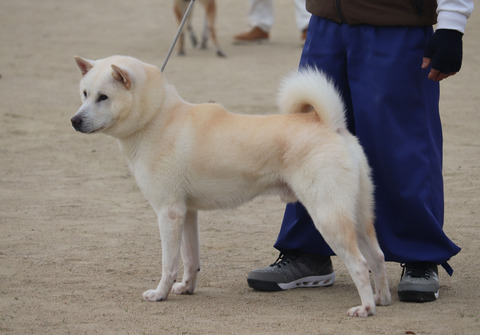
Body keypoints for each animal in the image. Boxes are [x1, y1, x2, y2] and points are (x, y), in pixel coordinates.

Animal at [72, 55, 394, 318]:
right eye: (85, 94)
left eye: (103, 97)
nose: (74, 120)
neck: (157, 118)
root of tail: (330, 125)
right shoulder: (187, 214)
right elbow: (190, 259)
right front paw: (186, 288)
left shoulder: (168, 213)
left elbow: (168, 263)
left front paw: (160, 294)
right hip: (358, 216)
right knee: (377, 257)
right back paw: (382, 299)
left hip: (328, 217)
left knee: (359, 264)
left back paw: (366, 308)